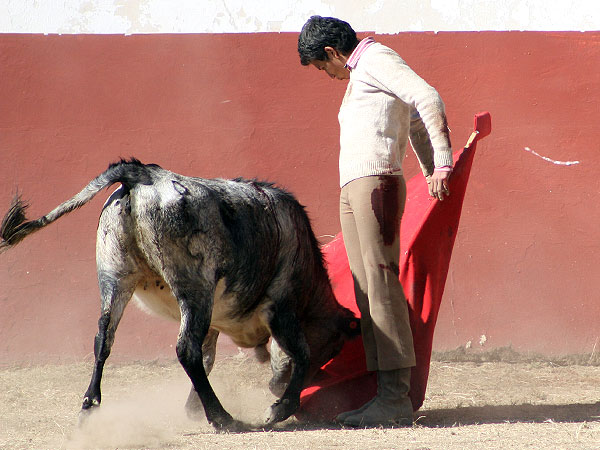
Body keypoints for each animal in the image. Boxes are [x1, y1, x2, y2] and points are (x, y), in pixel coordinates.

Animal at [0, 159, 358, 428]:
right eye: (332, 347)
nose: (277, 388)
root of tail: (143, 173)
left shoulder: (216, 321)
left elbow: (210, 357)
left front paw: (192, 409)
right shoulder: (282, 306)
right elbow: (300, 352)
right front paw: (280, 408)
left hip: (115, 276)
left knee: (104, 339)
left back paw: (90, 407)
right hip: (193, 287)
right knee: (185, 348)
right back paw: (222, 417)